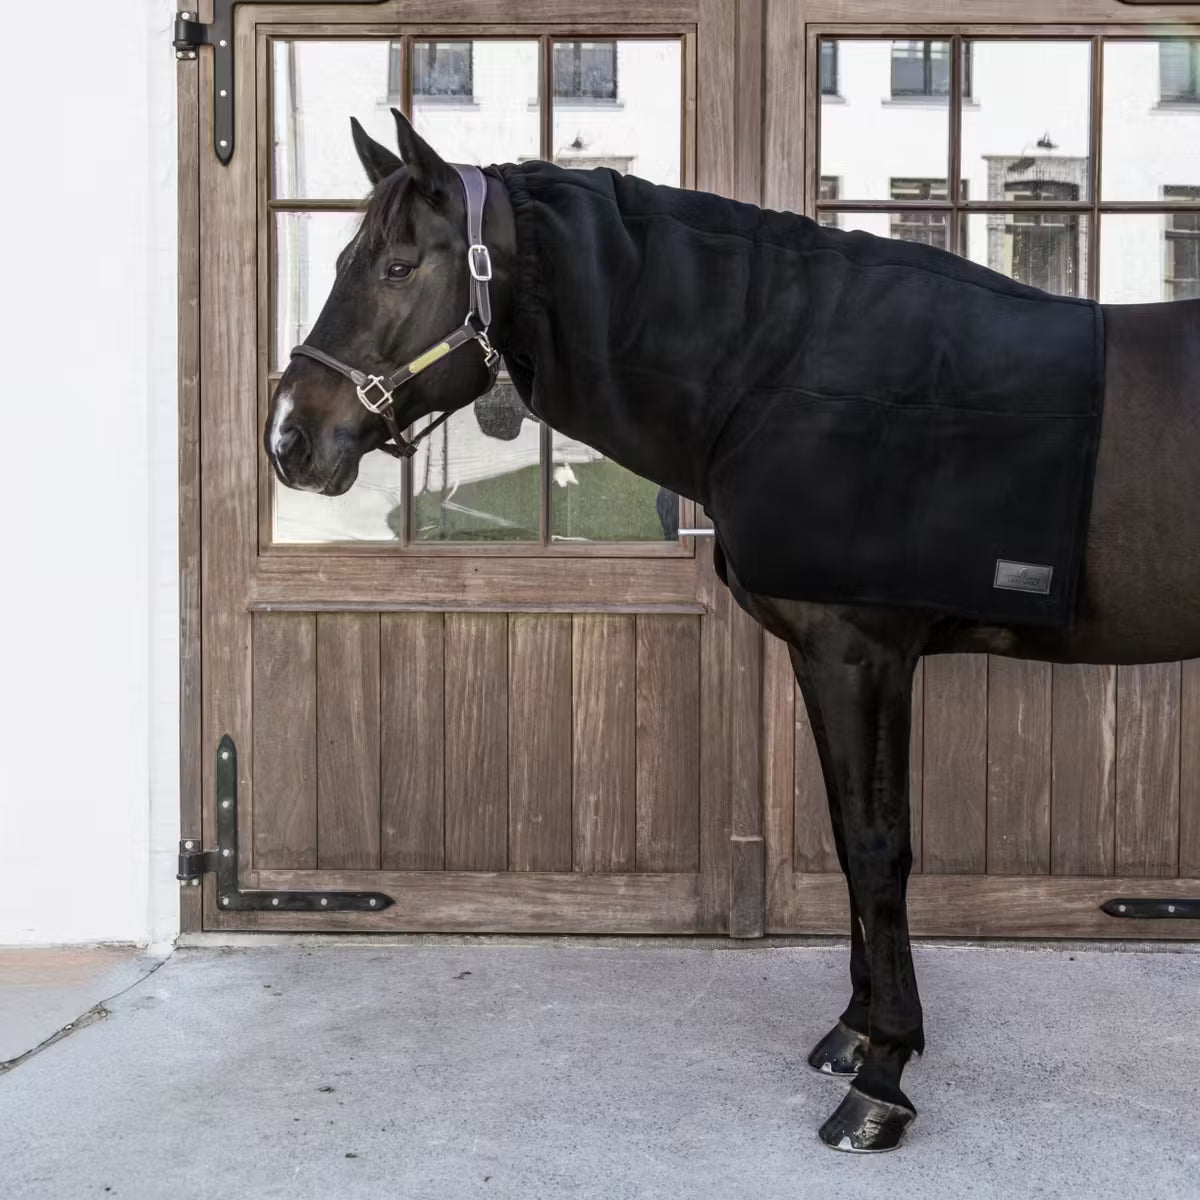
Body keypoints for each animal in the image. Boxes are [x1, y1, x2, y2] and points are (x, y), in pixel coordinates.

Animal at [264, 109, 1200, 1152]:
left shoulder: (861, 653)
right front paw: (854, 1032)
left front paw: (881, 1078)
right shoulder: (828, 657)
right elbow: (845, 834)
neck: (783, 368)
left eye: (396, 266)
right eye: (344, 258)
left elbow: (877, 845)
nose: (290, 439)